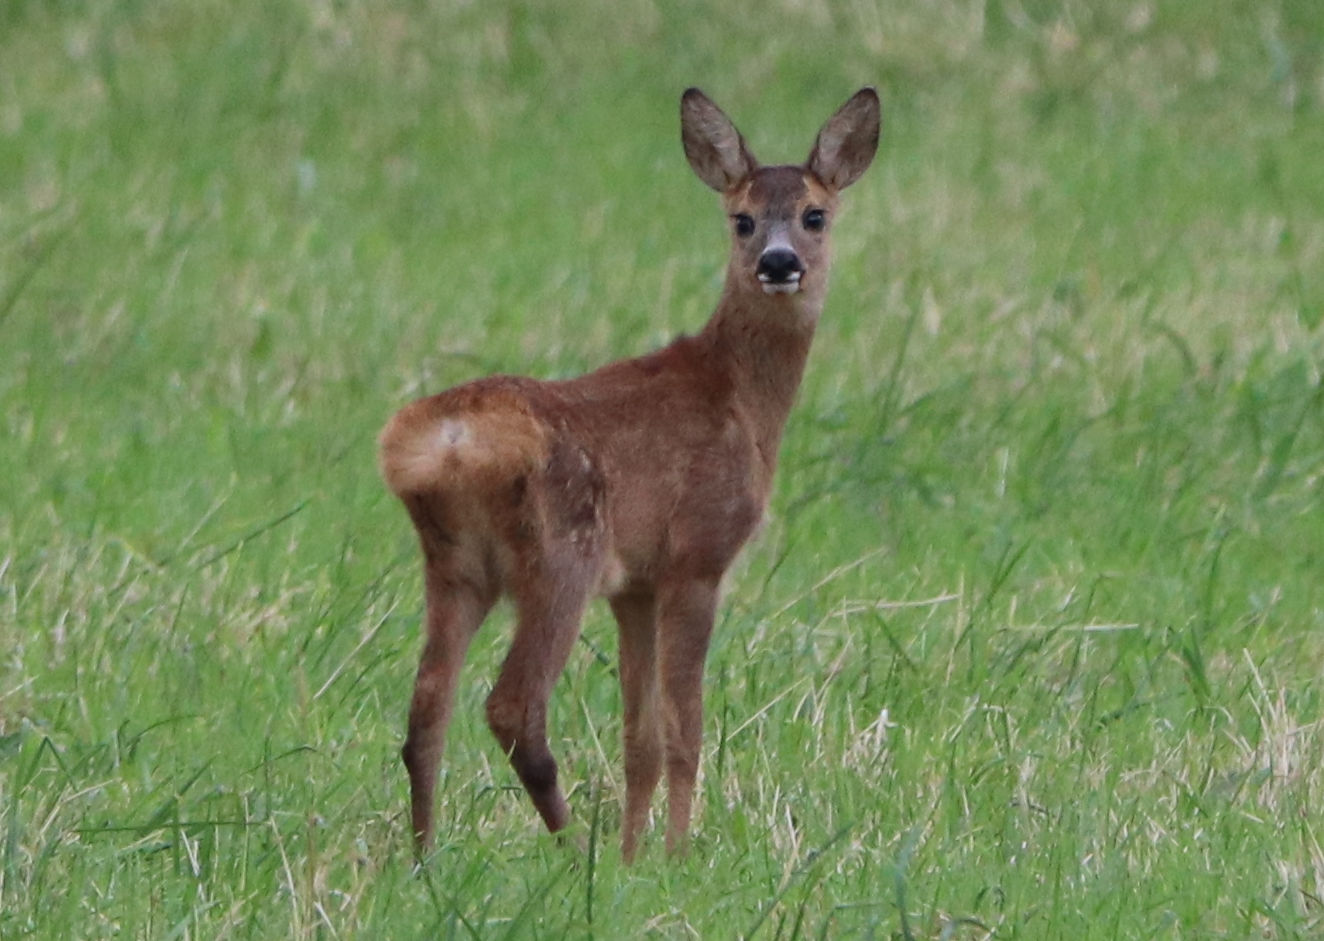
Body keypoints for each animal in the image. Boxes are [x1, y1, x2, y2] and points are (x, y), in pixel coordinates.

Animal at [378, 87, 880, 862]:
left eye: (814, 214)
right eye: (741, 218)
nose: (778, 262)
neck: (738, 398)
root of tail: (452, 438)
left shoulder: (635, 584)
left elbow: (638, 736)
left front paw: (634, 854)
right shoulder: (697, 554)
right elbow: (684, 728)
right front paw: (674, 852)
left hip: (457, 564)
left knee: (426, 707)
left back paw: (426, 857)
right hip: (563, 551)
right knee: (512, 704)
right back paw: (566, 848)